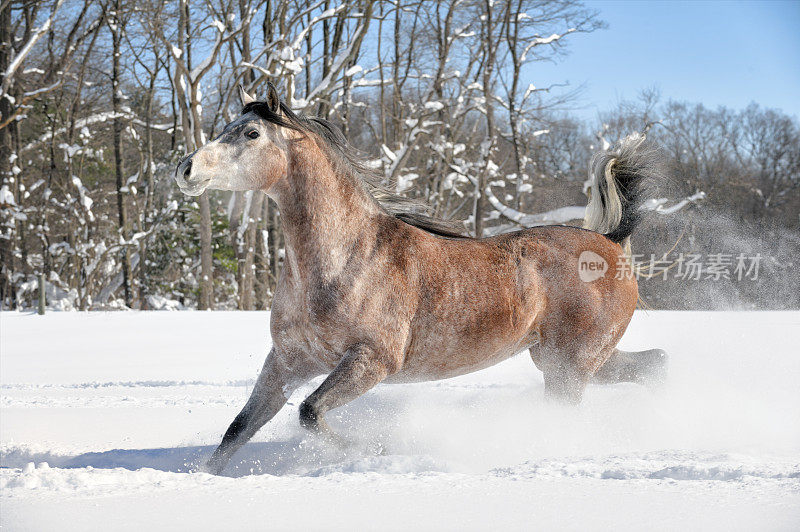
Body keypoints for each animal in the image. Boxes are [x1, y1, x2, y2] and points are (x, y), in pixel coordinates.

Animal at [177, 84, 668, 478]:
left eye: (251, 134)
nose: (185, 168)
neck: (345, 259)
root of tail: (610, 242)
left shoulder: (372, 361)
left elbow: (310, 413)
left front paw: (377, 451)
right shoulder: (286, 363)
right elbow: (238, 429)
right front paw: (201, 478)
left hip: (570, 366)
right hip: (568, 360)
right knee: (655, 364)